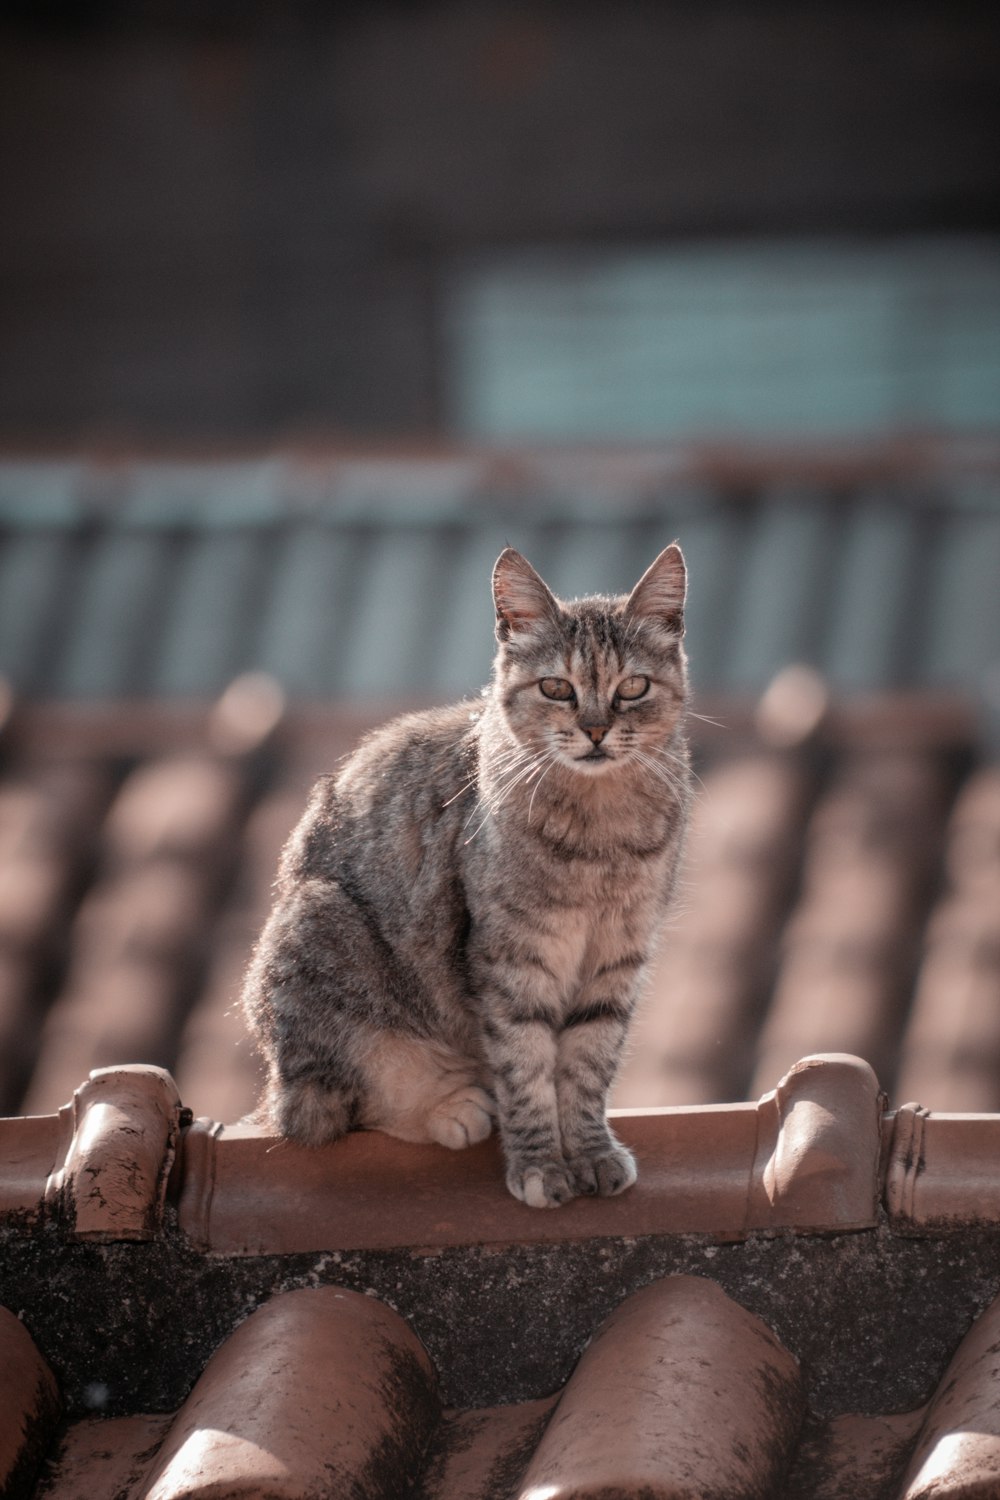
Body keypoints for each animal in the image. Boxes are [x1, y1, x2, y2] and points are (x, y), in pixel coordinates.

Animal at [242, 543, 695, 1206]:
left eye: (633, 687)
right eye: (556, 688)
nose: (595, 730)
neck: (600, 829)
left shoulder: (617, 956)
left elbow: (588, 1064)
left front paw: (590, 1152)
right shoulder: (510, 961)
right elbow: (525, 1068)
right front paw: (540, 1165)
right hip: (321, 932)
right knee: (328, 1109)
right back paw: (454, 1107)